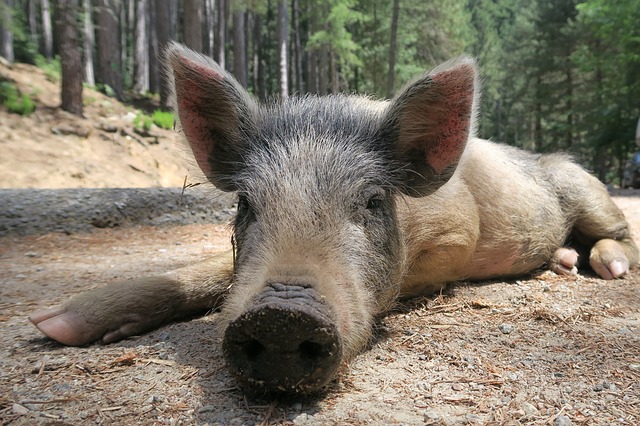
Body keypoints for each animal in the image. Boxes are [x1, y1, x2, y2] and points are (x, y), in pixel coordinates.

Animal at [26, 41, 640, 394]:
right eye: (245, 203)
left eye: (371, 202)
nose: (280, 317)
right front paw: (51, 326)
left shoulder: (458, 235)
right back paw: (562, 262)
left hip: (584, 186)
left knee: (619, 233)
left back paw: (605, 268)